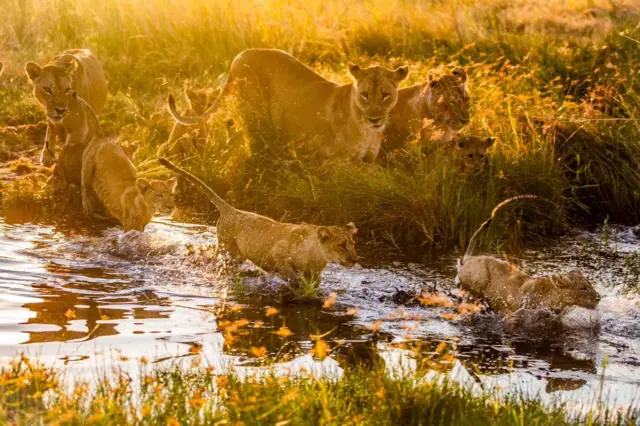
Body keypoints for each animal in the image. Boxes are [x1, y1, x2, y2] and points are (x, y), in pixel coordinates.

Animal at [159, 158, 359, 281]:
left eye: (352, 244)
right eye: (341, 245)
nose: (355, 259)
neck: (319, 256)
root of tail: (232, 210)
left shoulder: (314, 273)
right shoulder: (278, 253)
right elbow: (289, 272)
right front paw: (295, 284)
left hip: (236, 256)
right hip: (224, 250)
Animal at [168, 48, 408, 162]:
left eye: (385, 95)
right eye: (365, 95)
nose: (374, 119)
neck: (367, 130)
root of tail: (240, 56)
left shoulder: (368, 161)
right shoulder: (336, 161)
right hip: (255, 116)